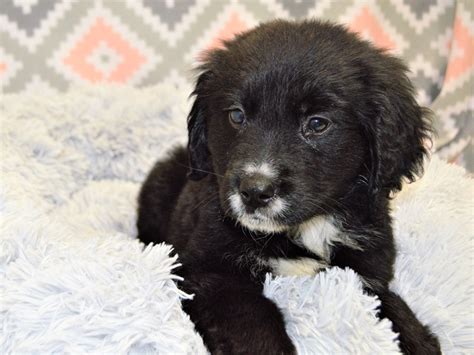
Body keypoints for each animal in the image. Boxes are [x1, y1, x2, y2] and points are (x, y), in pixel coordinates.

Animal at [137, 20, 440, 355]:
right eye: (237, 115)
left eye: (318, 123)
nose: (255, 191)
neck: (308, 228)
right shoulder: (210, 272)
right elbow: (253, 324)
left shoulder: (366, 272)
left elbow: (393, 306)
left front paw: (420, 340)